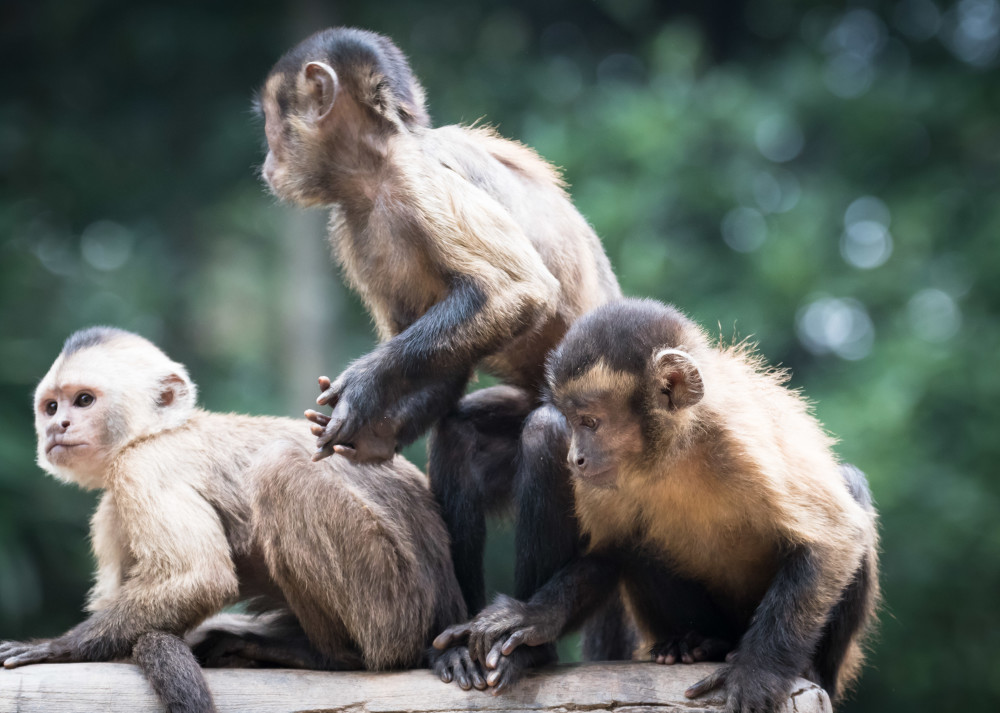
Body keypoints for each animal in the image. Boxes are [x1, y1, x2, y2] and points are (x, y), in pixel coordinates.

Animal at [0, 326, 466, 712]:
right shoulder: (116, 501)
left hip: (397, 612)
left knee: (279, 468)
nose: (58, 425)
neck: (156, 434)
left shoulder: (142, 466)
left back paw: (330, 657)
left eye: (83, 400)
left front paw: (59, 646)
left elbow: (201, 577)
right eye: (51, 407)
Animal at [254, 27, 620, 684]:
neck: (379, 167)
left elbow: (516, 292)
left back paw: (533, 641)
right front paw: (375, 433)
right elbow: (446, 371)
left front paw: (363, 390)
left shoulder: (416, 181)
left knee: (548, 432)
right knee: (461, 434)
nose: (267, 158)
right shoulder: (355, 224)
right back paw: (454, 640)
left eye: (271, 118)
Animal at [440, 298, 884, 708]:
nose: (575, 458)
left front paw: (757, 673)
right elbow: (605, 553)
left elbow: (835, 538)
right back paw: (696, 642)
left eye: (590, 422)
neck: (675, 451)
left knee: (851, 487)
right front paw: (535, 617)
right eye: (575, 422)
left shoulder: (742, 441)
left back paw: (805, 668)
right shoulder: (607, 481)